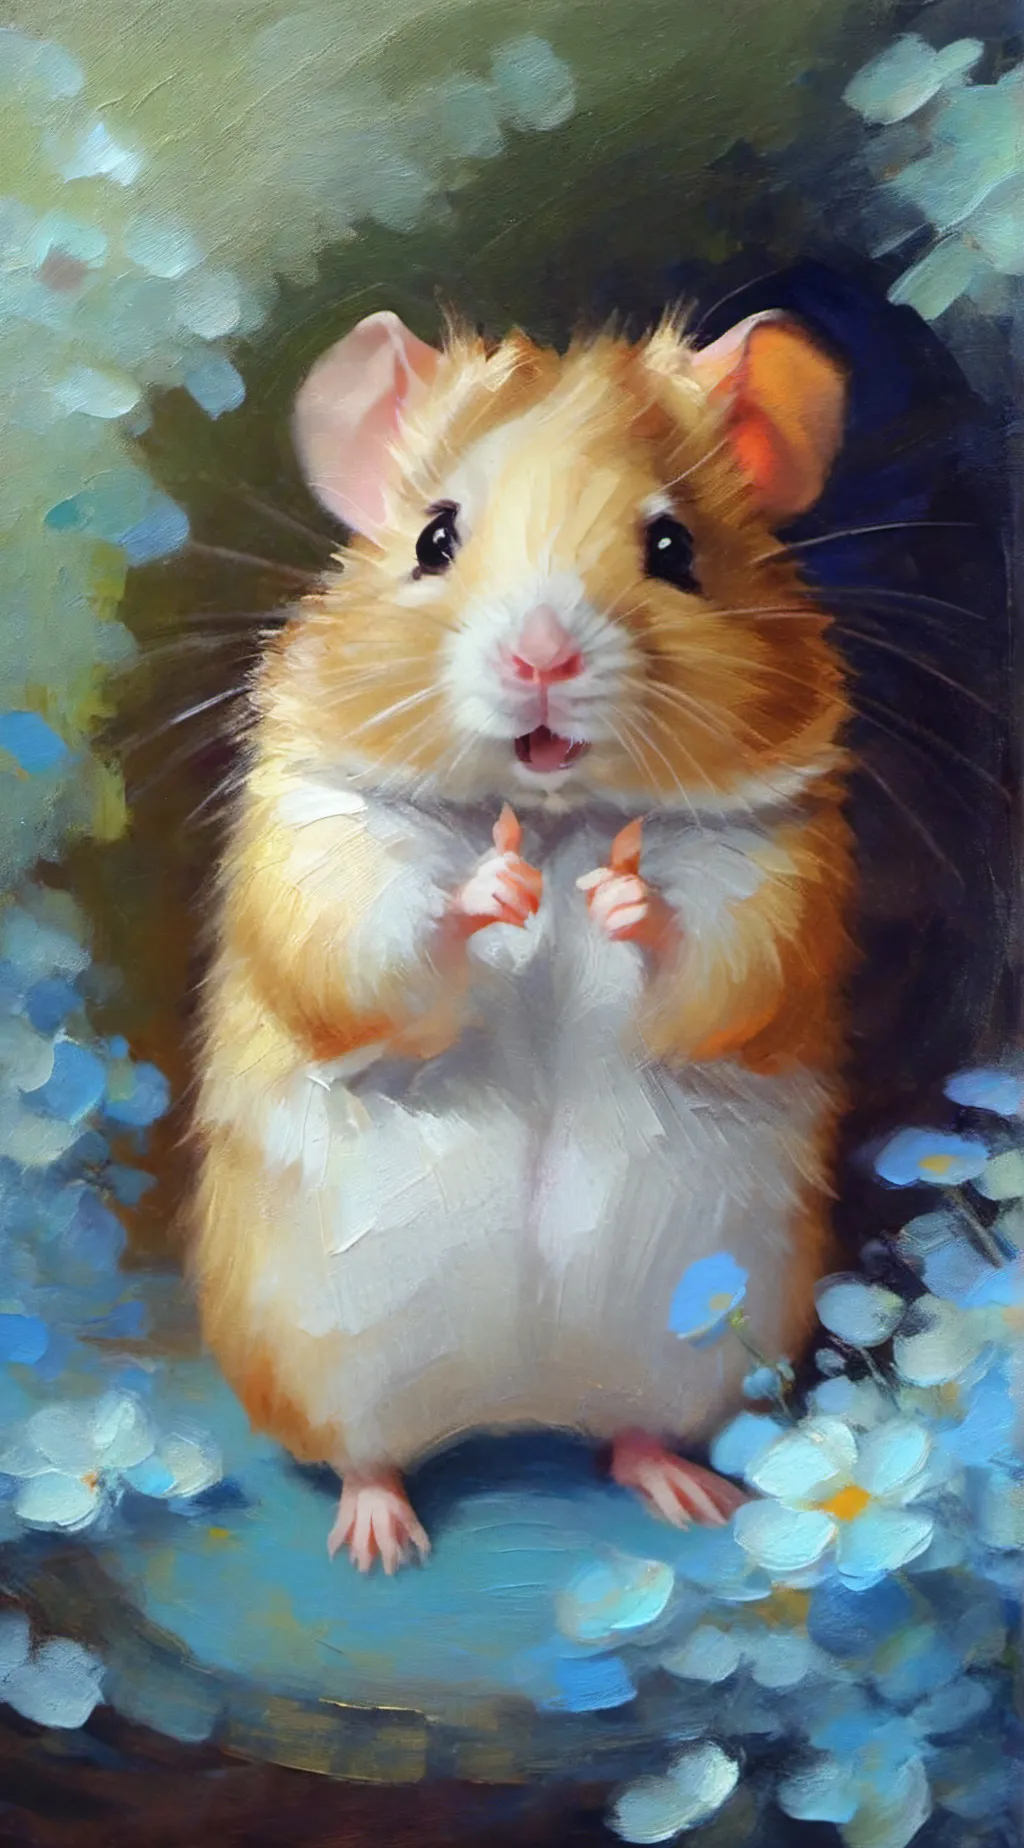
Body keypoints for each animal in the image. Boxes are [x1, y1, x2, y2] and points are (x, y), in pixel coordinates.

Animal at [190, 306, 855, 1573]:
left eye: (672, 546)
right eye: (435, 538)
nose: (542, 659)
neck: (553, 815)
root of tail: (514, 1408)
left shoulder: (780, 883)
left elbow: (711, 960)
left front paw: (619, 898)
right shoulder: (317, 857)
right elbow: (381, 947)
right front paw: (494, 889)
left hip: (699, 1341)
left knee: (630, 1434)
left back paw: (691, 1494)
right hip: (312, 1351)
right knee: (364, 1452)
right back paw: (381, 1540)